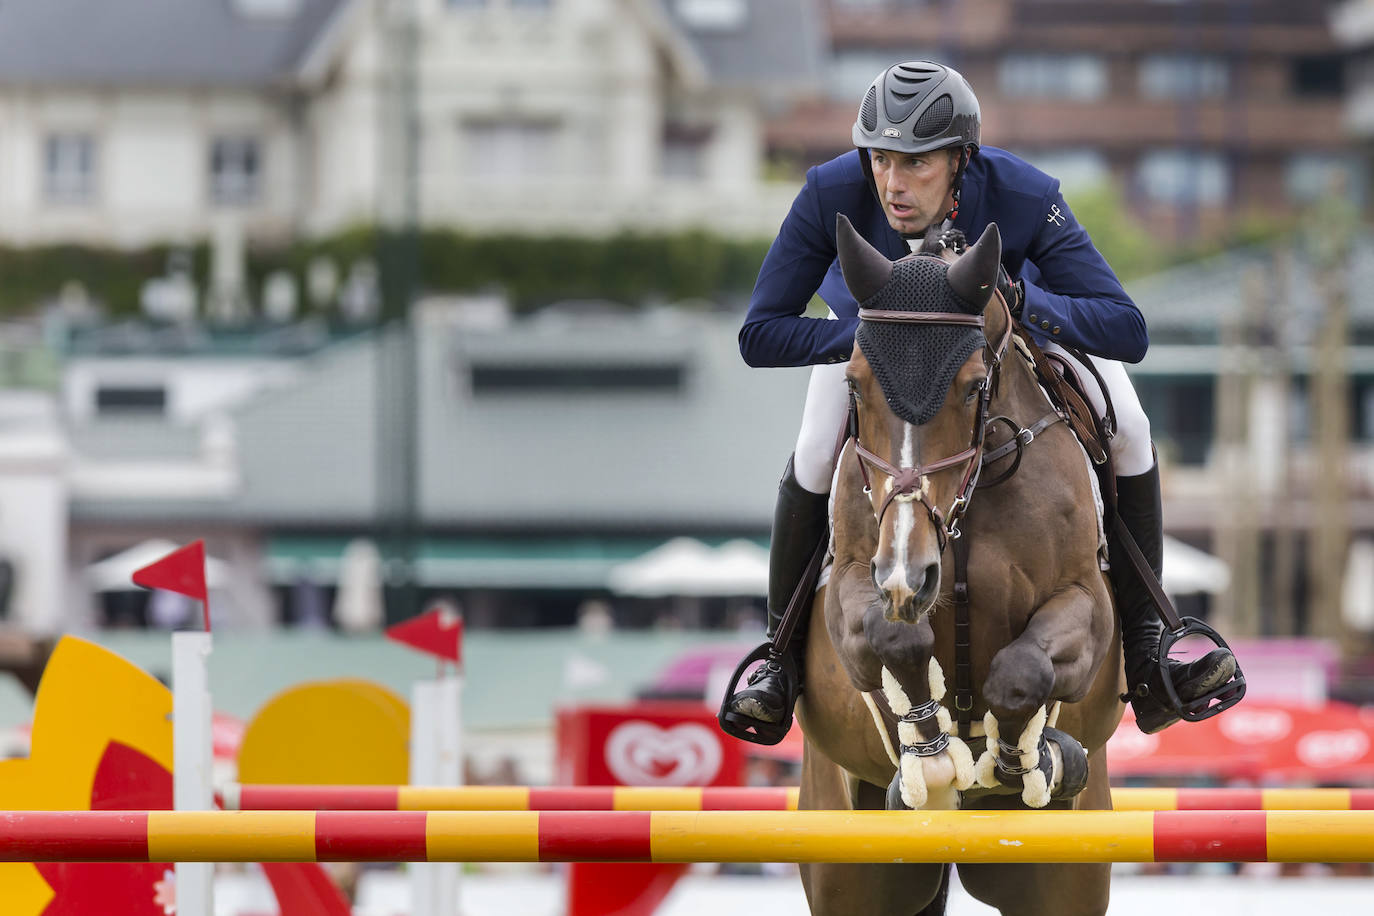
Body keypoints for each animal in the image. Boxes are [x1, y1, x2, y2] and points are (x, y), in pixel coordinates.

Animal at [796, 216, 1126, 916]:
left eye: (975, 385)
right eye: (853, 385)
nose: (909, 573)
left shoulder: (1084, 600)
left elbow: (1022, 673)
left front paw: (1022, 759)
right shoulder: (854, 583)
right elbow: (892, 639)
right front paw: (931, 754)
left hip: (1066, 872)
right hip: (848, 861)